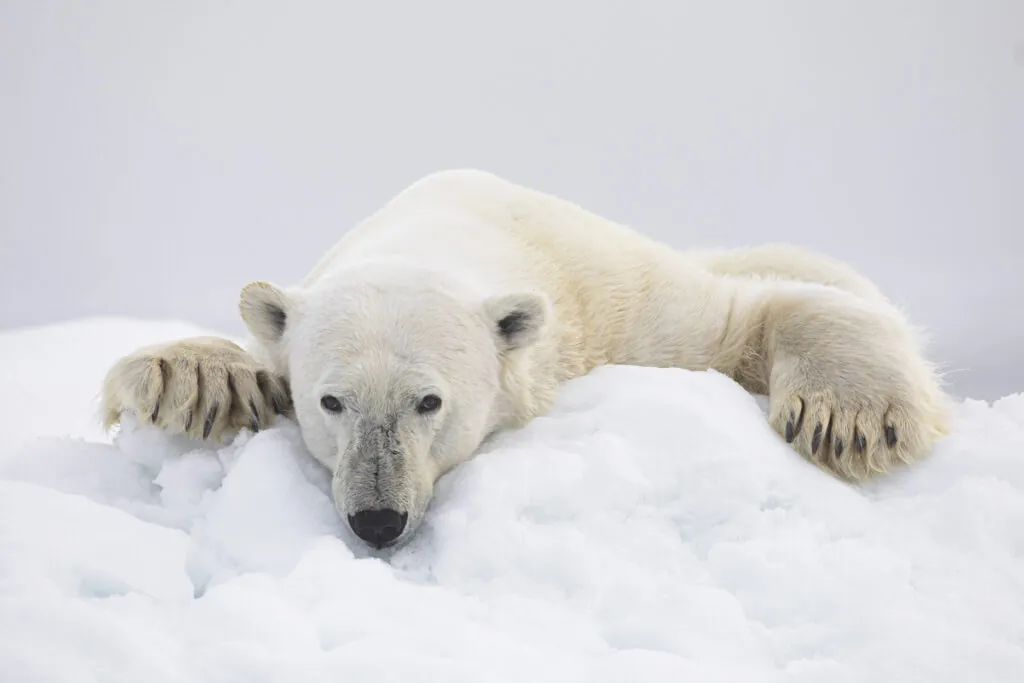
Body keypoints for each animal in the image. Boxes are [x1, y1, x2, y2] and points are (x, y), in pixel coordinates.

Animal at [99, 169, 946, 548]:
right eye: (330, 402)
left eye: (429, 401)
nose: (377, 519)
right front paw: (190, 379)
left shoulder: (616, 299)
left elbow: (744, 316)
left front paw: (852, 418)